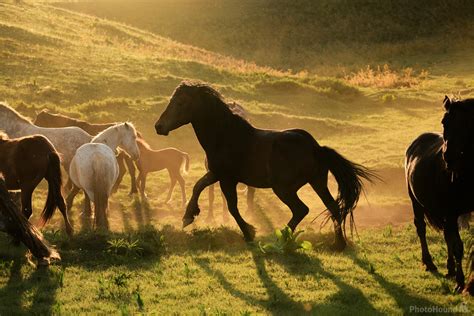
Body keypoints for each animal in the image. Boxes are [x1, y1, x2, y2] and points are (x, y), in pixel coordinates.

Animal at [154, 82, 376, 249]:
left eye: (181, 102)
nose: (158, 126)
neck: (227, 137)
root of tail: (315, 147)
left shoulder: (227, 179)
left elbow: (232, 207)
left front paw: (249, 232)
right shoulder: (217, 174)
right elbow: (198, 186)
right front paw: (188, 216)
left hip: (284, 188)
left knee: (301, 209)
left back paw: (281, 239)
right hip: (317, 183)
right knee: (333, 207)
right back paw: (338, 244)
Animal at [404, 97, 474, 294]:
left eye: (466, 124)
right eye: (444, 122)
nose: (447, 156)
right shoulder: (451, 212)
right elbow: (458, 247)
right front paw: (460, 282)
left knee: (446, 234)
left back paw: (449, 268)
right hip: (416, 202)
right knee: (421, 228)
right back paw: (429, 263)